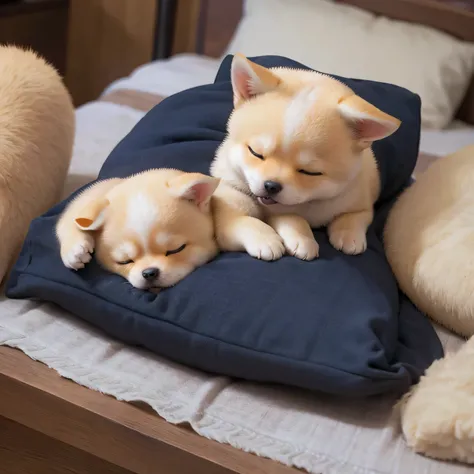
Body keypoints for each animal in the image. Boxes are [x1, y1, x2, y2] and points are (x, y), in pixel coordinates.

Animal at [56, 168, 219, 290]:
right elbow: (71, 219)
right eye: (124, 261)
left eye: (177, 249)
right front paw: (74, 251)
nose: (149, 273)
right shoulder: (87, 200)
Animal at [211, 56, 400, 262]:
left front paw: (348, 235)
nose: (271, 185)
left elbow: (355, 215)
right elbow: (246, 220)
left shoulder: (361, 198)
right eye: (256, 153)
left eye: (310, 172)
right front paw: (270, 239)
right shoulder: (230, 194)